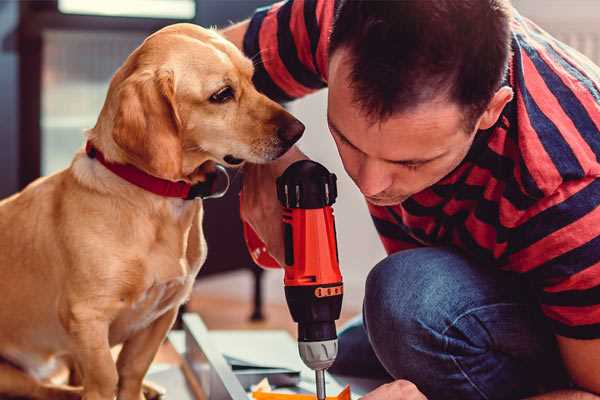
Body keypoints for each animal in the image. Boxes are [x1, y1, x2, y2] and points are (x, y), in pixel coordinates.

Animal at [0, 24, 302, 400]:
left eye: (252, 78)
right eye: (221, 95)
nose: (299, 131)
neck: (157, 199)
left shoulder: (163, 314)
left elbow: (130, 369)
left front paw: (136, 386)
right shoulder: (87, 318)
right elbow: (104, 378)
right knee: (47, 388)